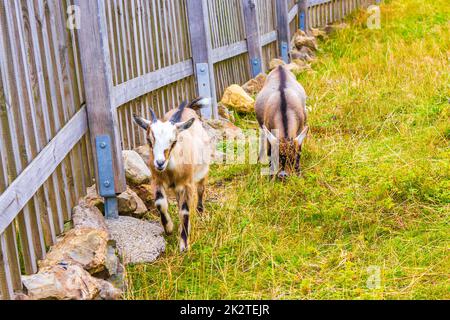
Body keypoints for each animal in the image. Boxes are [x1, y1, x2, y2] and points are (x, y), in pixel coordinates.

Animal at [133, 98, 212, 252]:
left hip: (202, 172)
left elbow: (185, 211)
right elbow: (160, 203)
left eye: (174, 141)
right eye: (149, 140)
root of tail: (188, 108)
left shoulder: (187, 184)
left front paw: (184, 246)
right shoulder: (156, 181)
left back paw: (200, 213)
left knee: (200, 190)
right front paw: (169, 228)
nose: (160, 163)